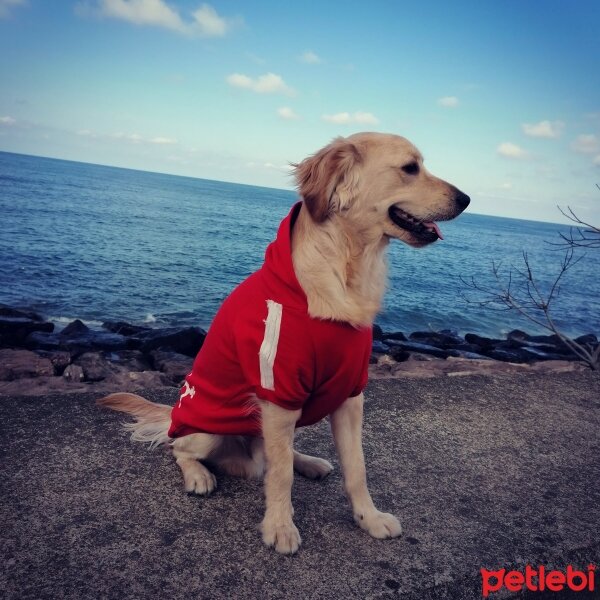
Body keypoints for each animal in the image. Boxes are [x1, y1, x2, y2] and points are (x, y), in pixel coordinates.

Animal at [98, 131, 468, 552]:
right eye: (410, 168)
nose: (467, 199)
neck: (345, 266)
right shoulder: (278, 390)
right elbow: (280, 477)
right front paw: (279, 526)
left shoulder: (350, 393)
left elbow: (356, 467)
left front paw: (368, 518)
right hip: (207, 430)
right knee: (183, 448)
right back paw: (198, 475)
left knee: (275, 456)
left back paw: (309, 462)